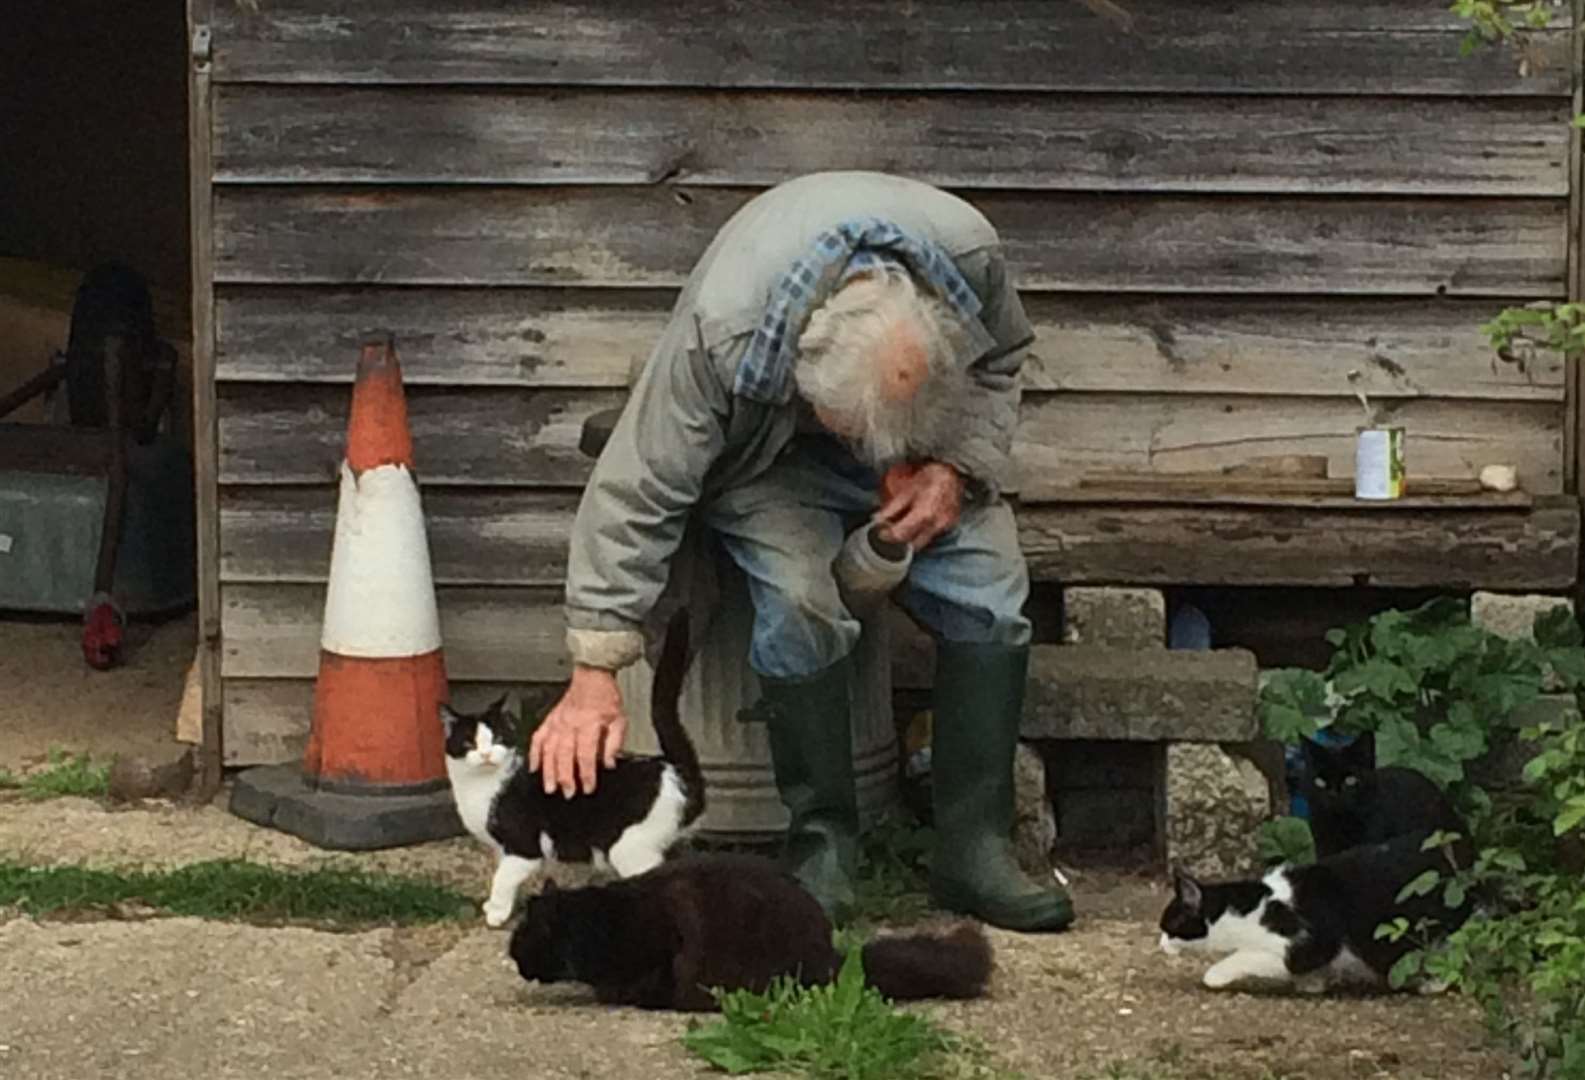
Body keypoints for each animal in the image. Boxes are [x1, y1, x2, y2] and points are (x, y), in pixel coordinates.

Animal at [1153, 831, 1470, 995]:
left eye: (1170, 926)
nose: (1160, 944)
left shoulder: (1305, 943)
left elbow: (1250, 957)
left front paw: (1215, 975)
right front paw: (1313, 984)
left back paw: (1433, 983)